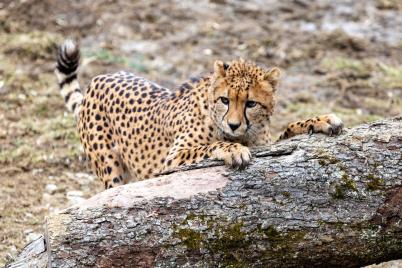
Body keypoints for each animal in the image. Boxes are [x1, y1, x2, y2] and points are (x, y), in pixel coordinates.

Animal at [55, 40, 344, 191]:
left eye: (251, 103)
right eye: (225, 100)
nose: (234, 125)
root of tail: (103, 76)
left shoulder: (265, 142)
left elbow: (289, 129)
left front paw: (320, 121)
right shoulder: (171, 159)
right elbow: (209, 146)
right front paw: (233, 150)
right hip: (111, 169)